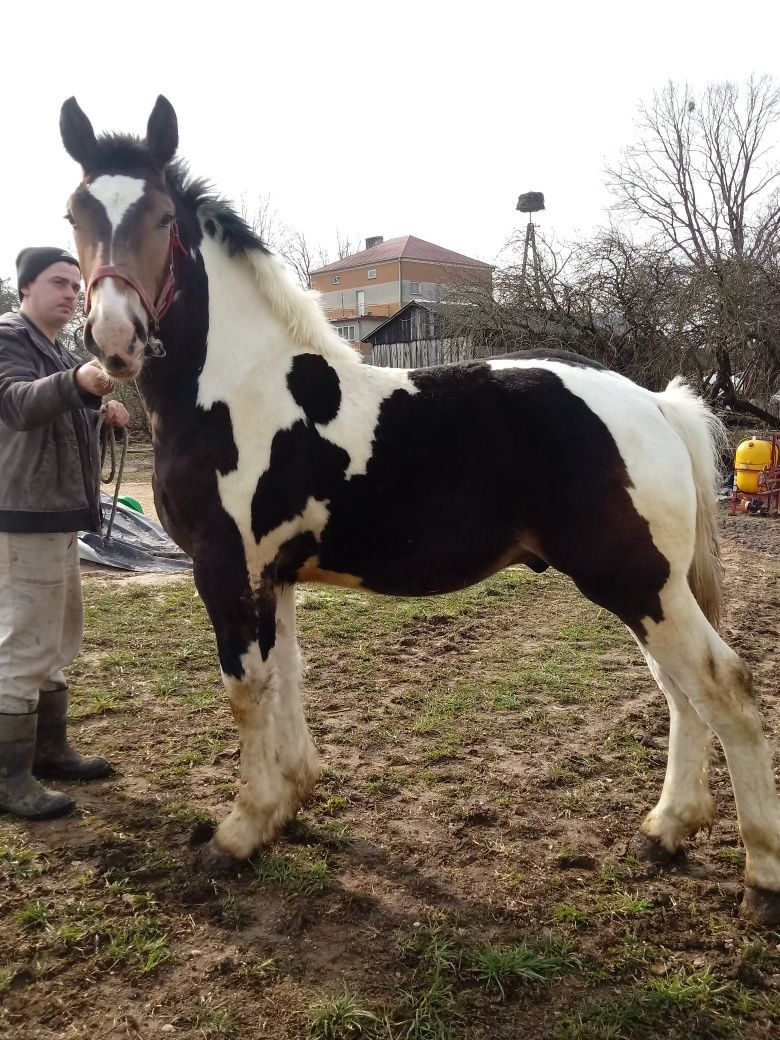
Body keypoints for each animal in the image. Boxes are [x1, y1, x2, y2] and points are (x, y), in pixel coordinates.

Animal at [59, 95, 780, 927]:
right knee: (680, 693)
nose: (113, 338)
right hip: (651, 590)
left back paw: (760, 876)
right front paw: (289, 803)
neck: (236, 391)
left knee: (725, 689)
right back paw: (668, 828)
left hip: (638, 584)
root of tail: (656, 403)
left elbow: (246, 691)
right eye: (76, 211)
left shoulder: (226, 570)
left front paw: (240, 831)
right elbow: (287, 678)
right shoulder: (275, 576)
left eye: (161, 216)